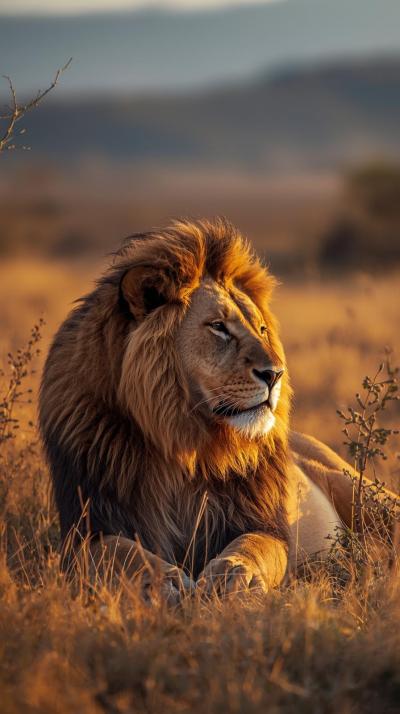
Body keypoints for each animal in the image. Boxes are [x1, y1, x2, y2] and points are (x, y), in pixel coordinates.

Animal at [39, 219, 399, 601]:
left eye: (261, 329)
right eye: (219, 327)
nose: (276, 374)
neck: (185, 442)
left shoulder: (263, 523)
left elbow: (252, 546)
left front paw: (232, 577)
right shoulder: (87, 525)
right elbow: (119, 552)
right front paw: (161, 582)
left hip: (361, 493)